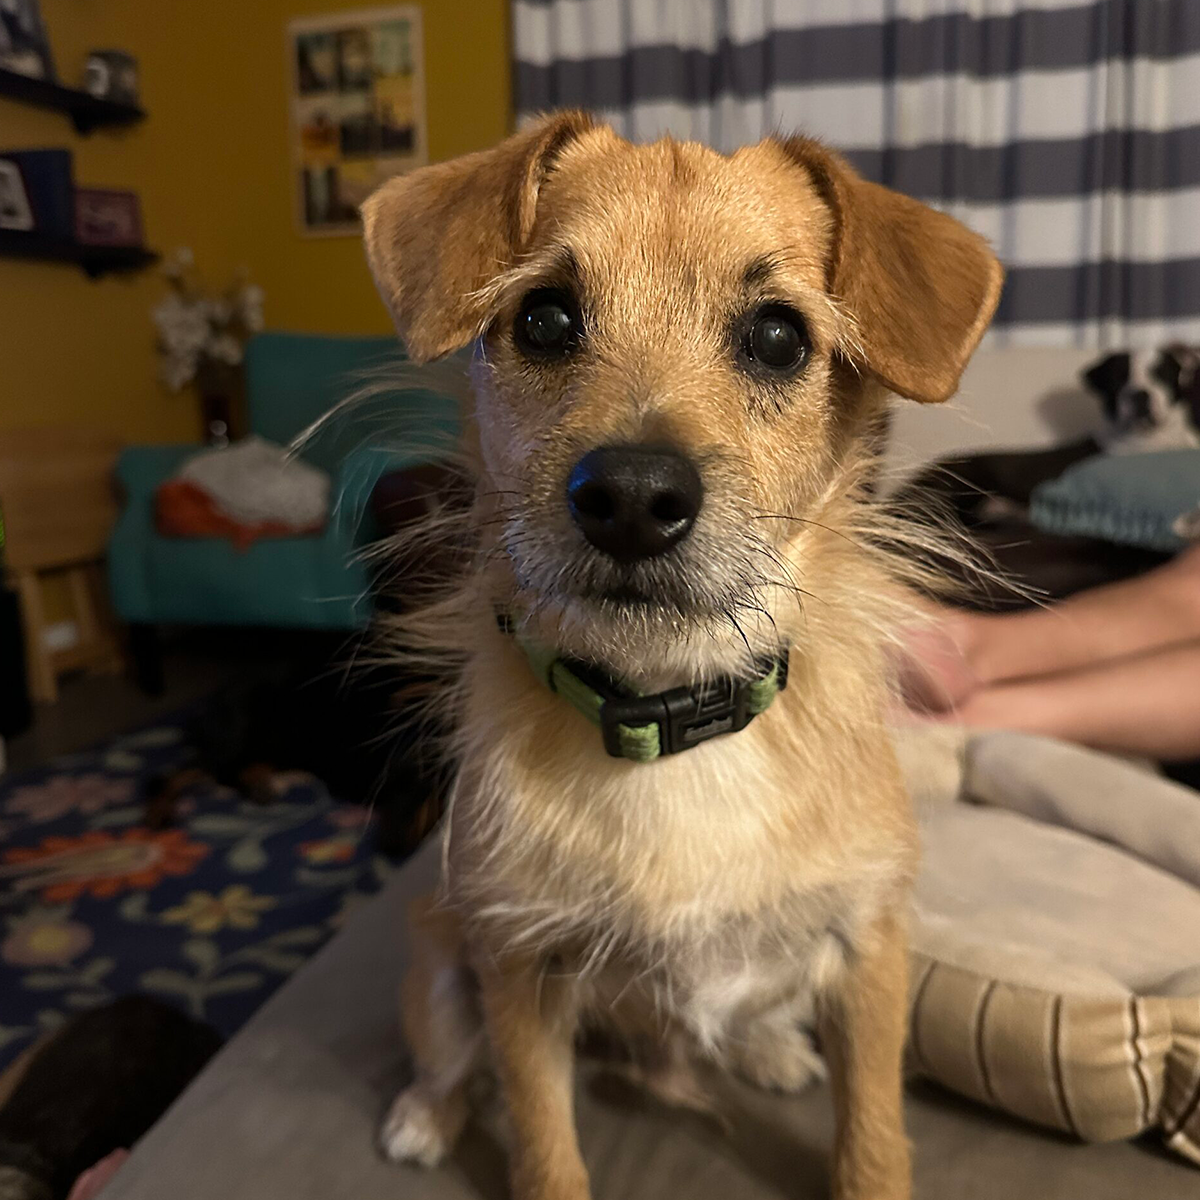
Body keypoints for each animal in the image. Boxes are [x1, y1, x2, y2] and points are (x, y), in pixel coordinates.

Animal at [360, 111, 1002, 1200]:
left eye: (779, 337)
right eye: (543, 320)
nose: (629, 496)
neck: (672, 720)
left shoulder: (869, 948)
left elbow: (872, 1136)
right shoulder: (519, 970)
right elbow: (542, 1143)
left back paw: (768, 1049)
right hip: (445, 965)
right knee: (451, 1061)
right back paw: (421, 1114)